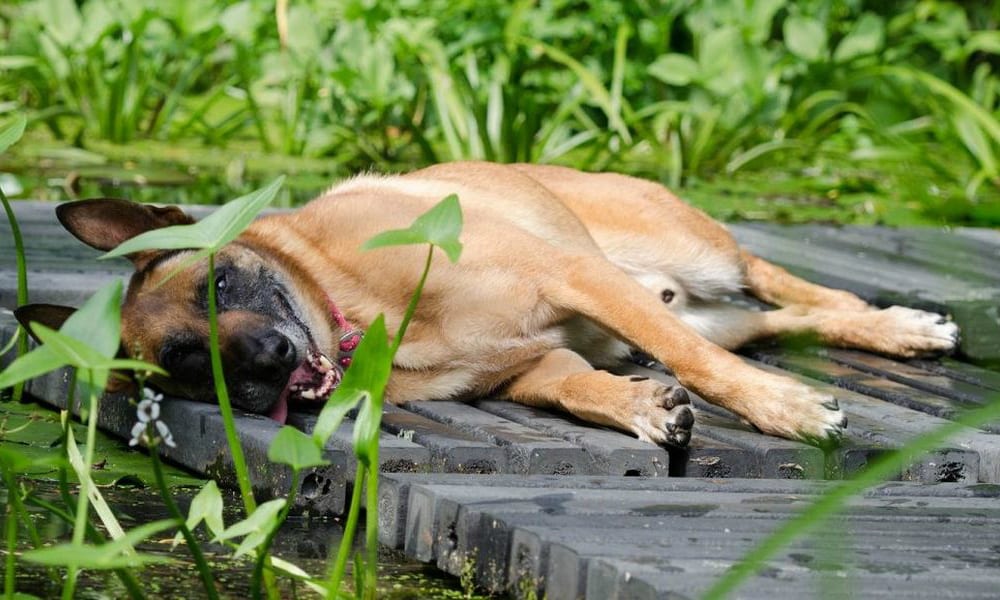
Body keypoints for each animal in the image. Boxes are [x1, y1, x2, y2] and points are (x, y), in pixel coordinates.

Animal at [15, 162, 956, 448]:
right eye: (183, 365)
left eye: (218, 286)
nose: (265, 365)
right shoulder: (530, 365)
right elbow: (577, 386)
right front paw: (641, 408)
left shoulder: (573, 278)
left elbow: (700, 366)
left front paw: (784, 410)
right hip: (706, 304)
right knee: (779, 320)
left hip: (702, 258)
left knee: (785, 286)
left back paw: (900, 324)